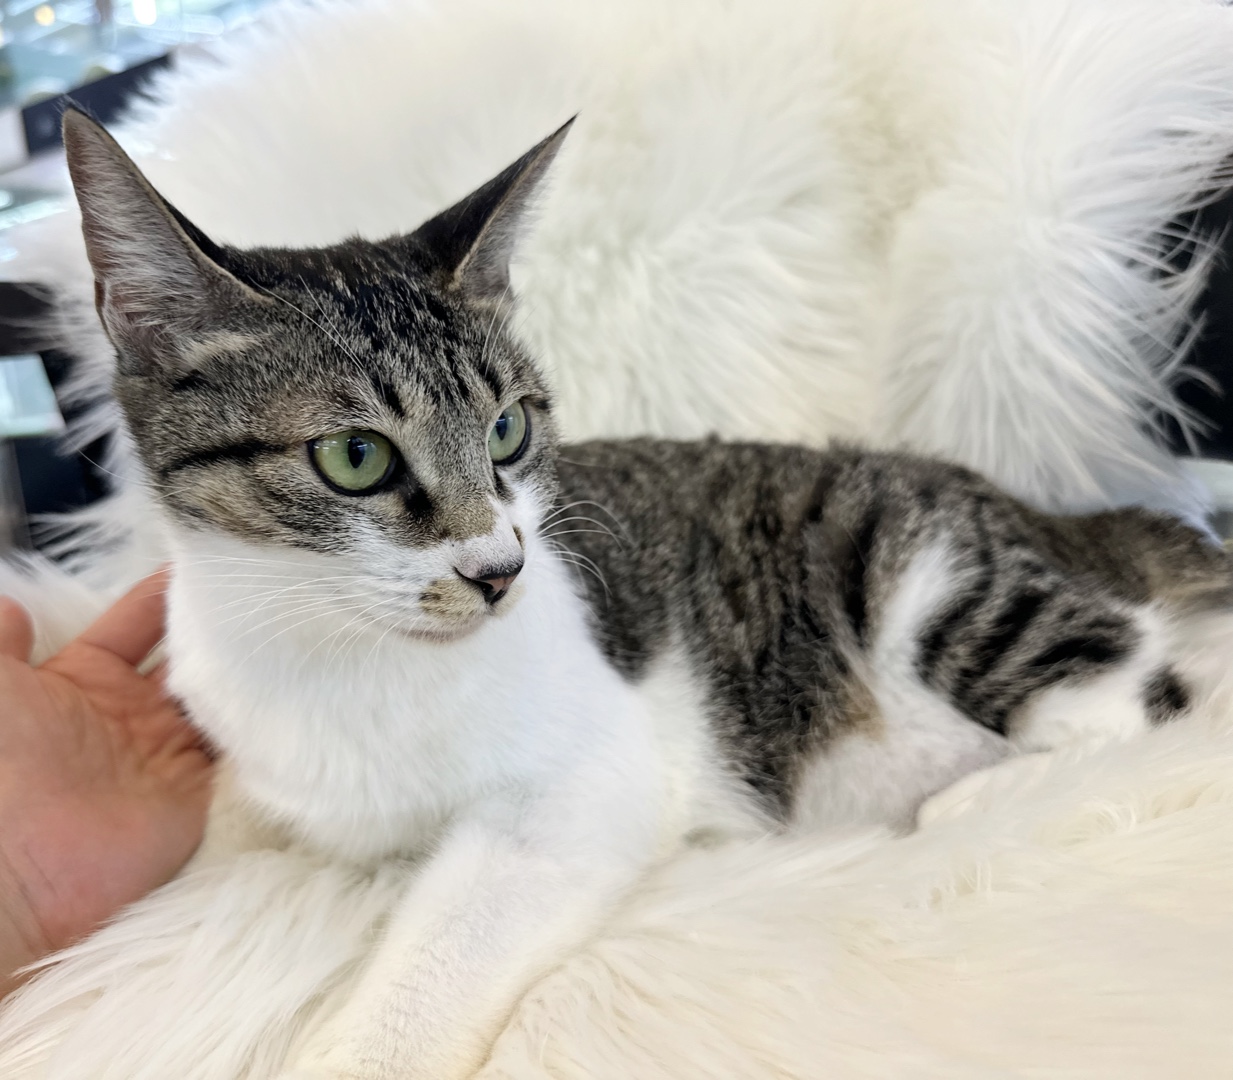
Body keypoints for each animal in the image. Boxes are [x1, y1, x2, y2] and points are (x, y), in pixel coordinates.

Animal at [0, 107, 1228, 1080]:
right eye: (355, 457)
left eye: (508, 430)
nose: (499, 569)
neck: (334, 647)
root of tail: (1046, 513)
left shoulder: (584, 786)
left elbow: (447, 942)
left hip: (916, 572)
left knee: (1142, 694)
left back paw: (980, 799)